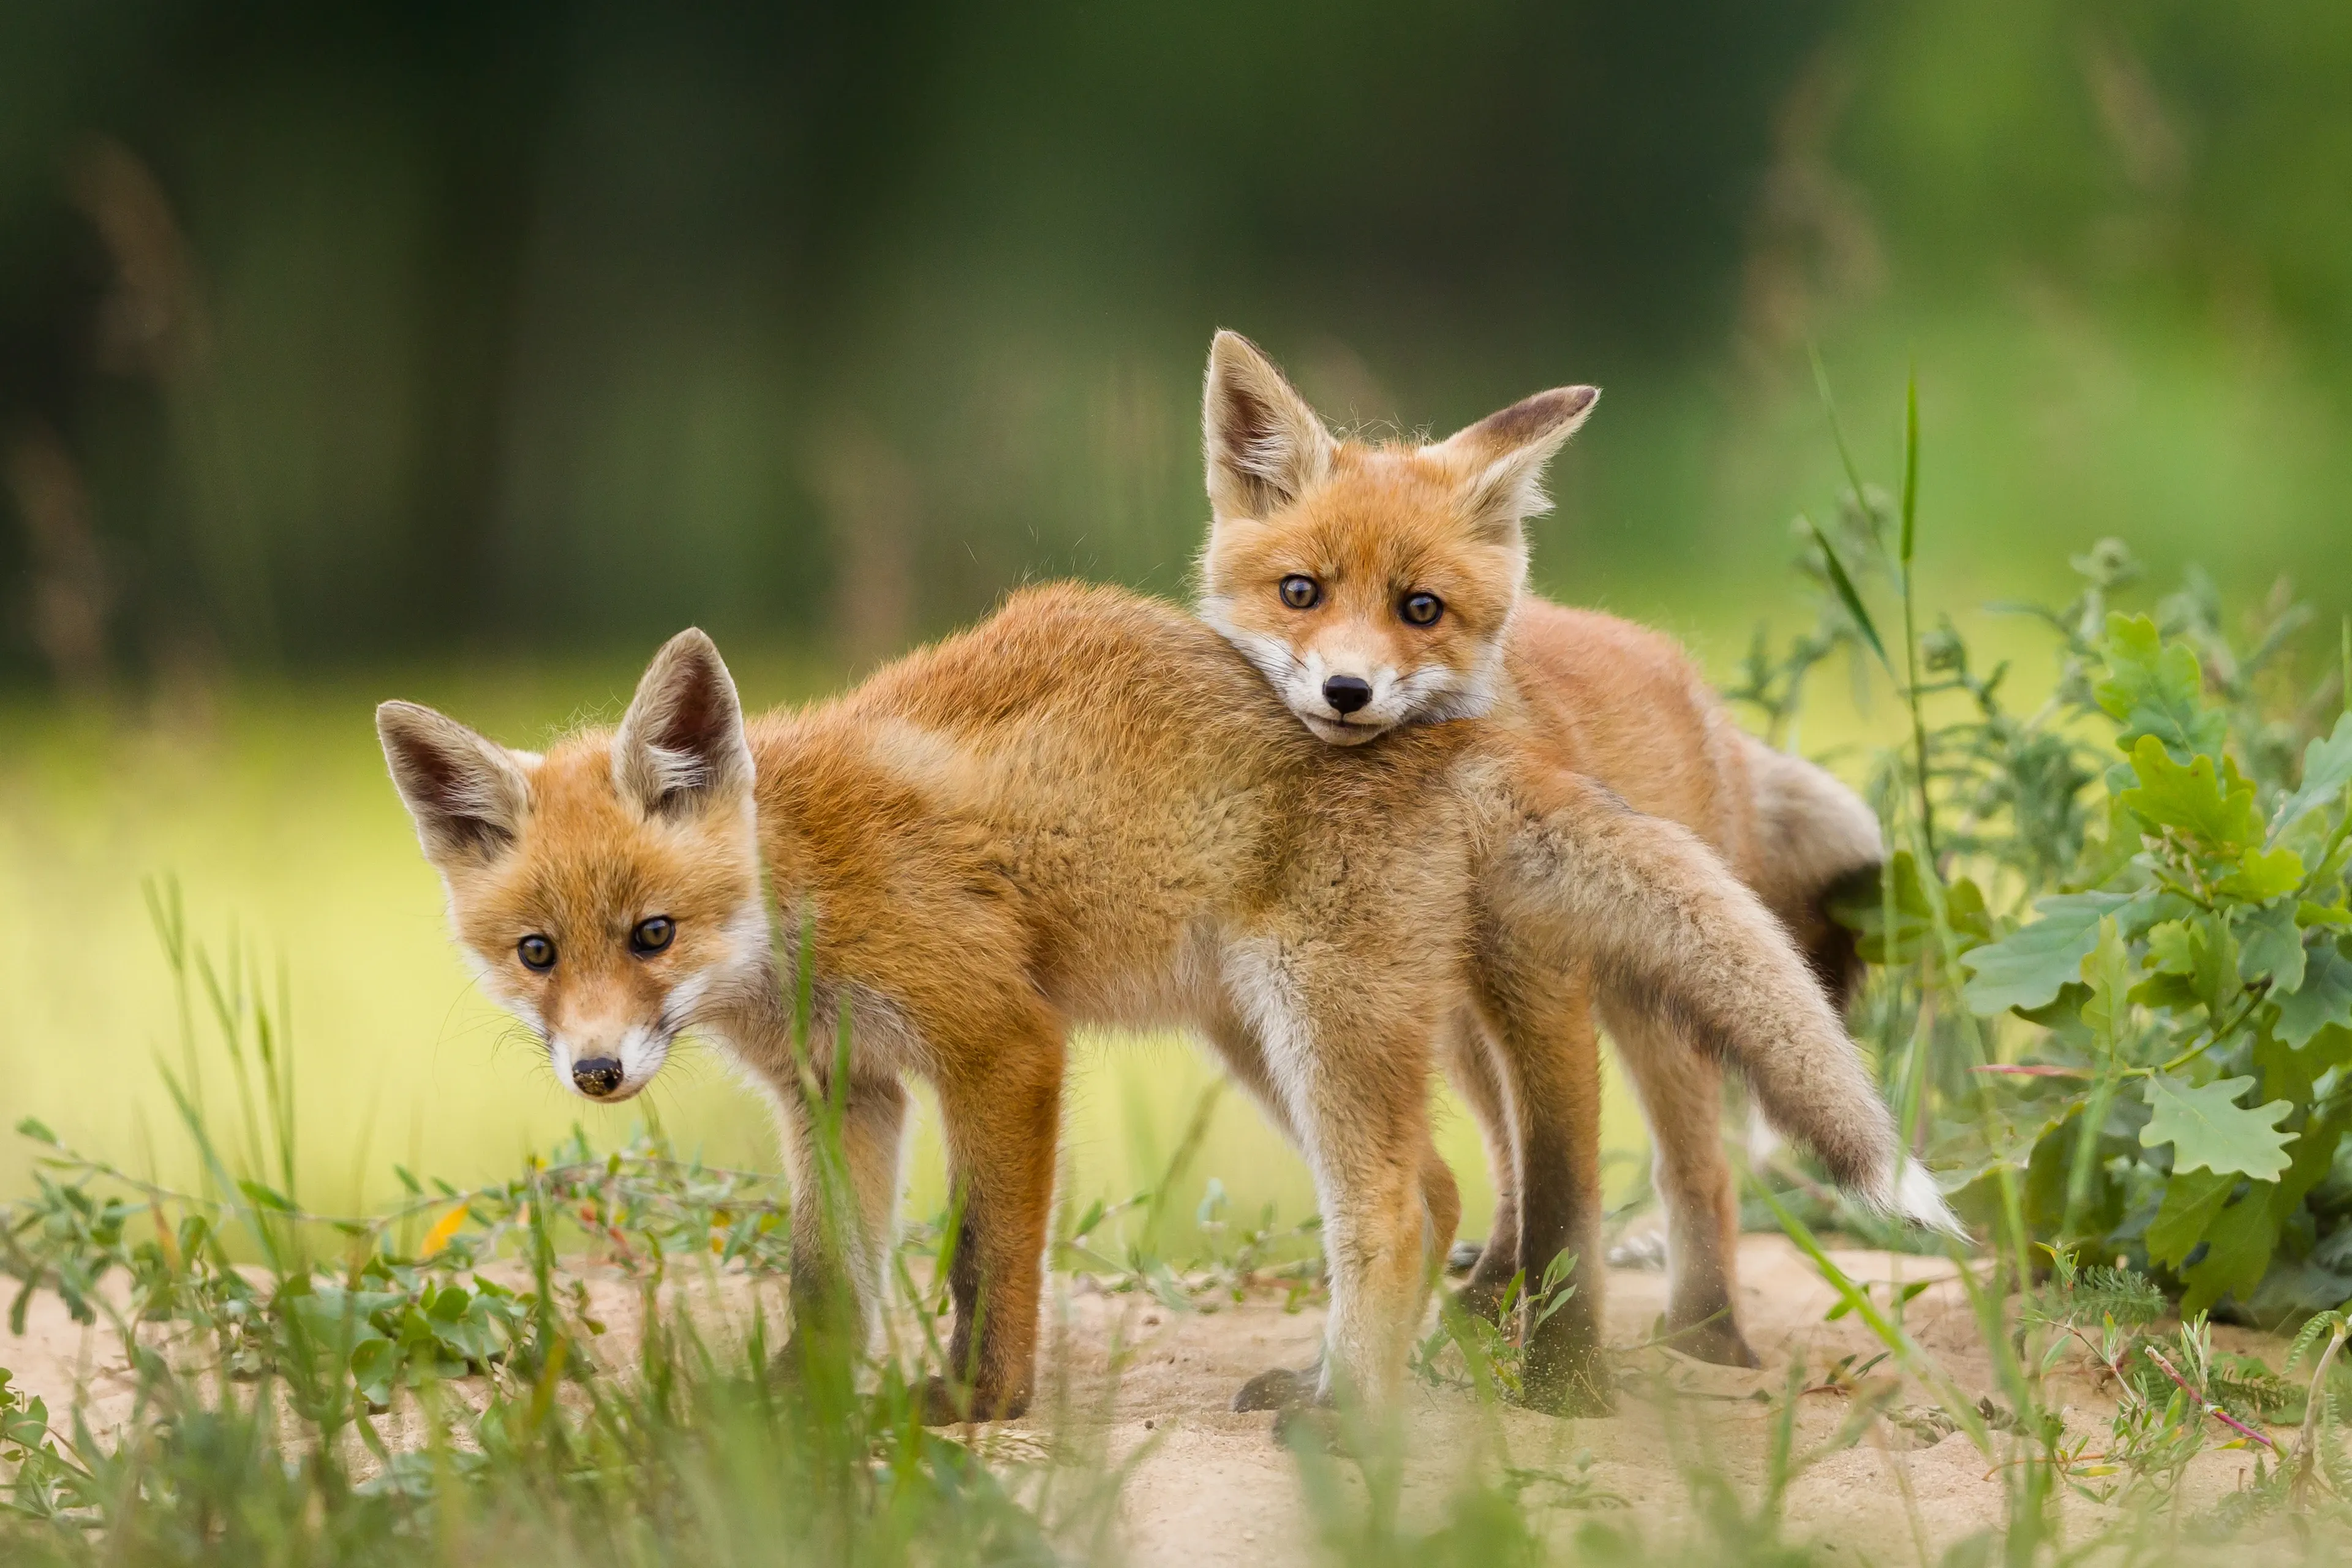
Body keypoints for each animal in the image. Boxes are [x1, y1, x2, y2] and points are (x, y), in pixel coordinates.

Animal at [378, 593, 1931, 1423]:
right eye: (535, 951)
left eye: (654, 932)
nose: (595, 1070)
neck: (798, 894)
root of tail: (1454, 731)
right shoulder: (845, 1090)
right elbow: (831, 1277)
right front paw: (796, 1407)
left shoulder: (999, 1041)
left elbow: (980, 1260)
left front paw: (975, 1406)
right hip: (1259, 1036)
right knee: (1437, 1186)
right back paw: (1345, 1381)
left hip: (1312, 1015)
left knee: (1394, 1206)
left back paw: (1348, 1416)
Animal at [1196, 330, 1903, 1367]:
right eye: (1301, 593)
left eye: (1420, 609)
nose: (1347, 693)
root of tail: (1692, 684)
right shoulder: (1463, 997)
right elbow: (1523, 1176)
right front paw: (1499, 1302)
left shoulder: (1544, 984)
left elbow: (1565, 1183)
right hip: (1464, 1022)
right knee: (1509, 1159)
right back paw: (1496, 1294)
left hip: (1654, 1002)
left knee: (1700, 1175)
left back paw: (1708, 1337)